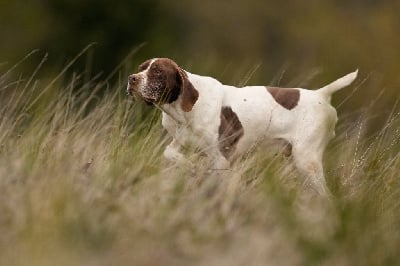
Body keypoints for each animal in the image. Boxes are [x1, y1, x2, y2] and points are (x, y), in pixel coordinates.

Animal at [126, 58, 358, 195]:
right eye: (141, 69)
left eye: (157, 71)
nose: (131, 78)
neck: (183, 112)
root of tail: (322, 94)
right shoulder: (180, 143)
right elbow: (170, 154)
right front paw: (190, 167)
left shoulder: (221, 158)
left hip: (306, 160)